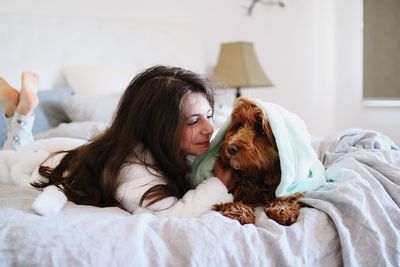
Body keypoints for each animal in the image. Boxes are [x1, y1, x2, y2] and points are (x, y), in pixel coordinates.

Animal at [214, 97, 304, 227]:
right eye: (239, 126)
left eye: (261, 130)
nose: (230, 148)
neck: (255, 175)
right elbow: (230, 201)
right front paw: (240, 211)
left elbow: (285, 197)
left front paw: (283, 209)